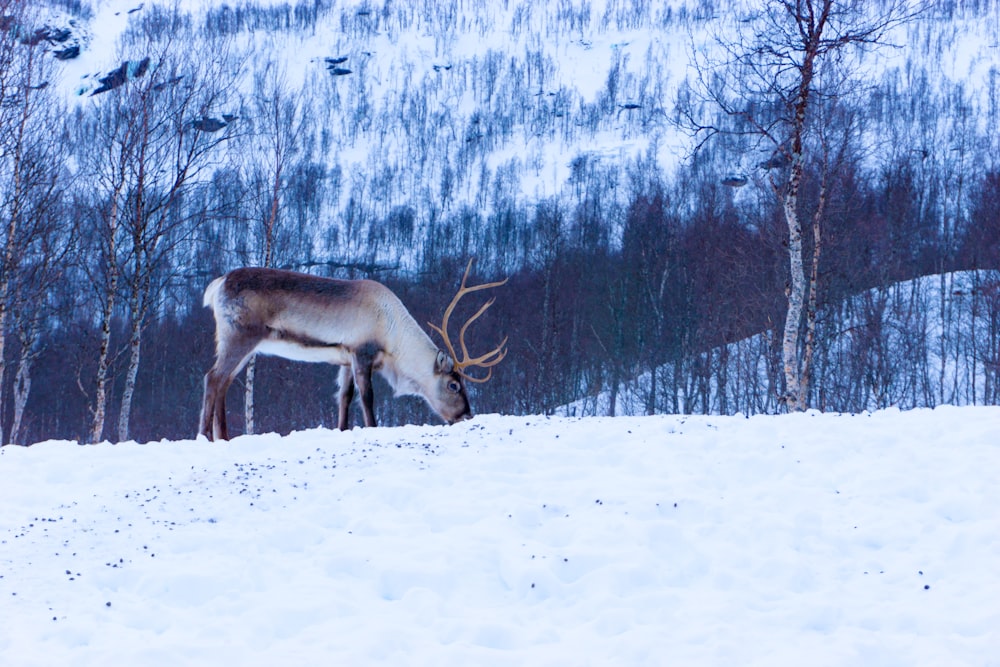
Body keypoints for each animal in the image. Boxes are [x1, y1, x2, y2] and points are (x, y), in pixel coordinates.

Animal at [196, 262, 508, 444]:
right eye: (454, 385)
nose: (467, 415)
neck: (393, 339)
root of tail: (217, 285)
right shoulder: (362, 352)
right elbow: (367, 397)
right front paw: (372, 428)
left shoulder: (343, 358)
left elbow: (344, 397)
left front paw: (343, 430)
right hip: (240, 336)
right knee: (213, 377)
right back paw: (206, 436)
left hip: (240, 344)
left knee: (224, 382)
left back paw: (224, 437)